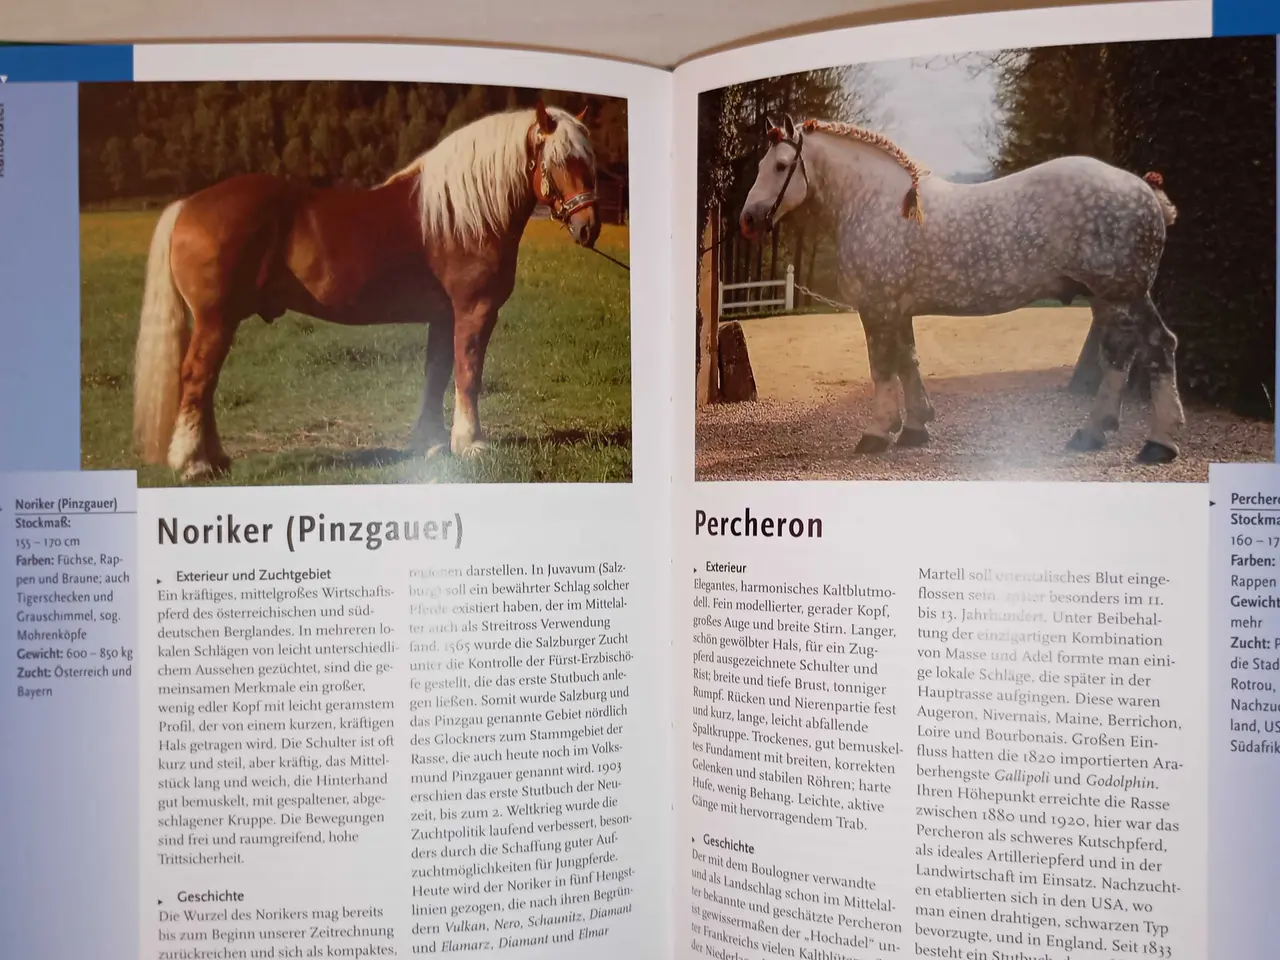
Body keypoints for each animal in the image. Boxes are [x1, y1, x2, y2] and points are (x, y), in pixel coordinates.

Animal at [132, 101, 601, 482]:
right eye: (561, 160)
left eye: (589, 160)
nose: (588, 227)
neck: (460, 215)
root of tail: (188, 205)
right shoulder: (475, 311)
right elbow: (468, 374)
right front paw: (470, 443)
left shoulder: (443, 316)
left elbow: (437, 373)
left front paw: (430, 443)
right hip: (216, 319)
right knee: (196, 378)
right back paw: (193, 464)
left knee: (204, 384)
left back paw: (214, 459)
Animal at [738, 114, 1184, 464]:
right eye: (761, 164)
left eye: (781, 166)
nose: (748, 219)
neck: (876, 204)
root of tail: (1146, 191)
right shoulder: (898, 309)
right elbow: (908, 361)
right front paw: (915, 428)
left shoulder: (877, 307)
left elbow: (882, 367)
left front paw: (877, 433)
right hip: (1108, 297)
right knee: (1120, 354)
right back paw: (1093, 433)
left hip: (1123, 293)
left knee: (1158, 346)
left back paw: (1159, 443)